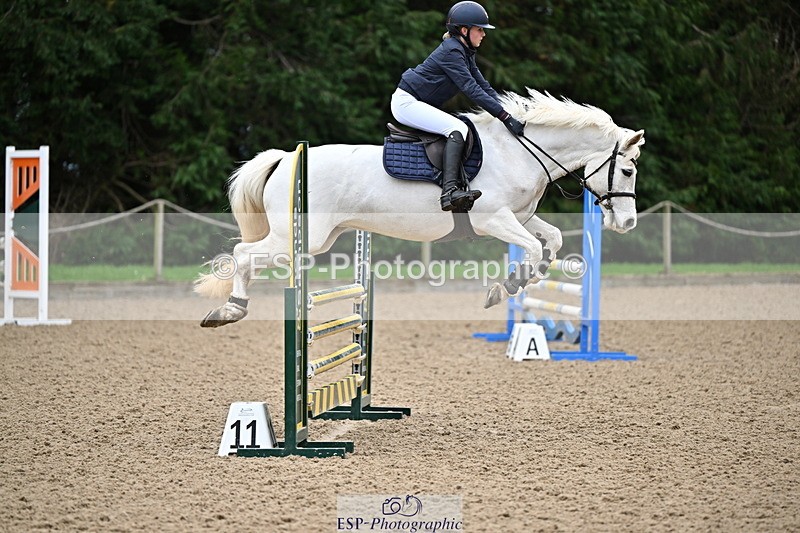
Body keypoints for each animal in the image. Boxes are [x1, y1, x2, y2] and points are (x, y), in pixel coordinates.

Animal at [195, 89, 645, 327]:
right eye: (626, 170)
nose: (627, 222)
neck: (518, 150)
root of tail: (286, 158)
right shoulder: (494, 220)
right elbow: (534, 248)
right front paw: (506, 286)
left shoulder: (520, 217)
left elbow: (549, 241)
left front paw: (520, 280)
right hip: (303, 237)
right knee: (243, 254)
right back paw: (230, 309)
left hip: (314, 238)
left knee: (248, 255)